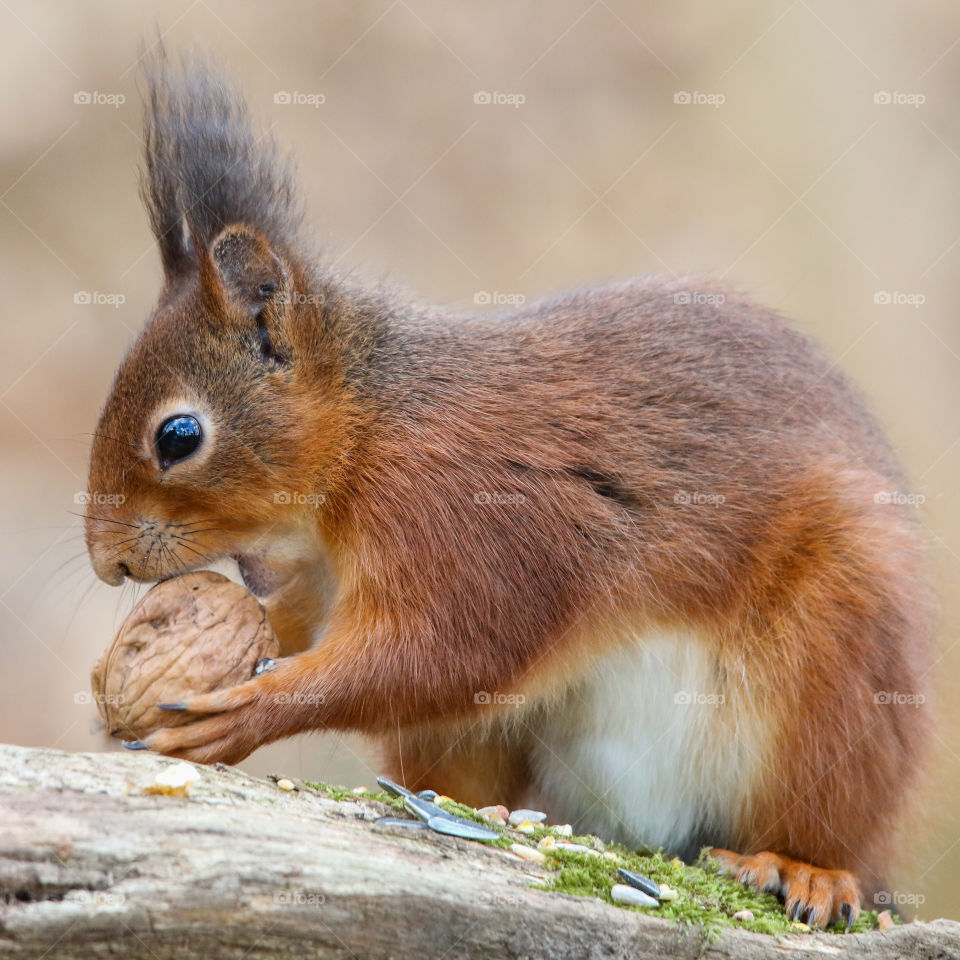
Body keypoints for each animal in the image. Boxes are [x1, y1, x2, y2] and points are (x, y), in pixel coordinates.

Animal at [85, 52, 933, 929]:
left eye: (178, 436)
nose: (106, 563)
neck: (367, 433)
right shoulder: (318, 581)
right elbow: (308, 632)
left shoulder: (474, 519)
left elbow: (441, 654)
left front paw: (247, 711)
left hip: (837, 665)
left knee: (834, 822)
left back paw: (805, 870)